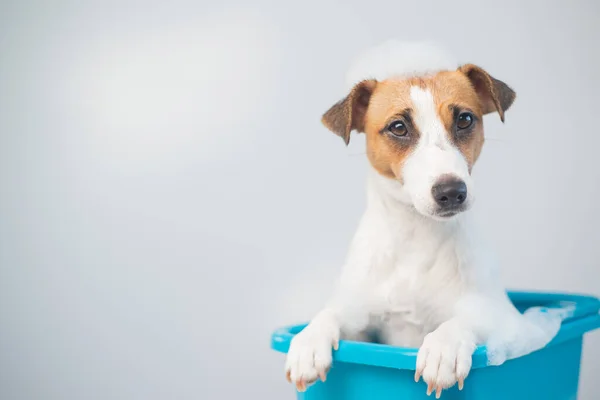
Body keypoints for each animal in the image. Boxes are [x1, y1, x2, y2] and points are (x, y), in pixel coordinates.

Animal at [284, 40, 568, 396]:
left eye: (465, 119)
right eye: (398, 127)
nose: (451, 191)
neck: (416, 236)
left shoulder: (502, 317)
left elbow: (465, 319)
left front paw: (443, 347)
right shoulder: (362, 322)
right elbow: (331, 313)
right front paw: (307, 342)